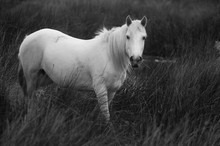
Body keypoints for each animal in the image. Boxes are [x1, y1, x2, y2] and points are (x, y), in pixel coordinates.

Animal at [17, 15, 148, 121]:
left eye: (144, 37)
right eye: (127, 37)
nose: (135, 59)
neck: (110, 56)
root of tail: (27, 38)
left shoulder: (112, 91)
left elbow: (102, 111)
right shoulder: (100, 88)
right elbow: (105, 113)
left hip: (44, 77)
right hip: (31, 77)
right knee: (30, 98)